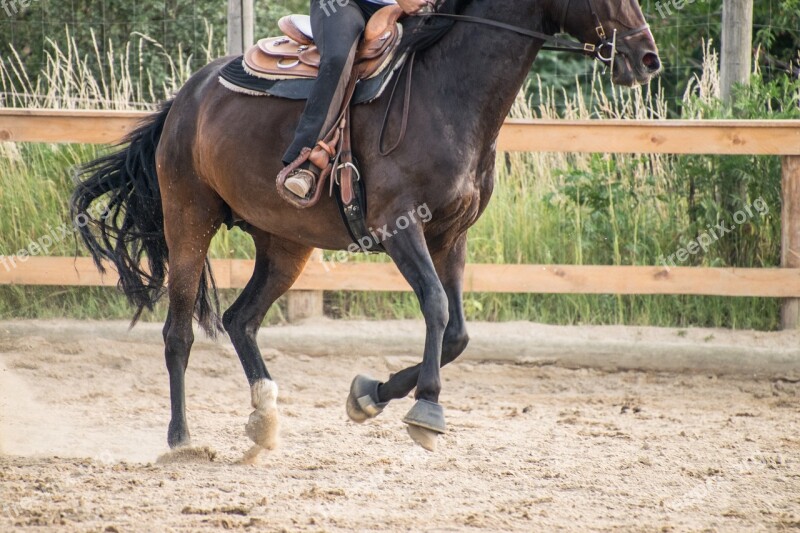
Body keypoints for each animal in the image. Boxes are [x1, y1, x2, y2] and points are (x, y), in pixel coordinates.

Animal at [72, 0, 664, 456]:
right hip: (189, 219)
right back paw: (181, 439)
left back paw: (264, 421)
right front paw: (426, 409)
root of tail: (184, 100)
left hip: (285, 245)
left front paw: (369, 395)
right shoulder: (400, 227)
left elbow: (457, 332)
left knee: (241, 320)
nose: (647, 58)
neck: (445, 93)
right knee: (179, 332)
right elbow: (436, 307)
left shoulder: (452, 237)